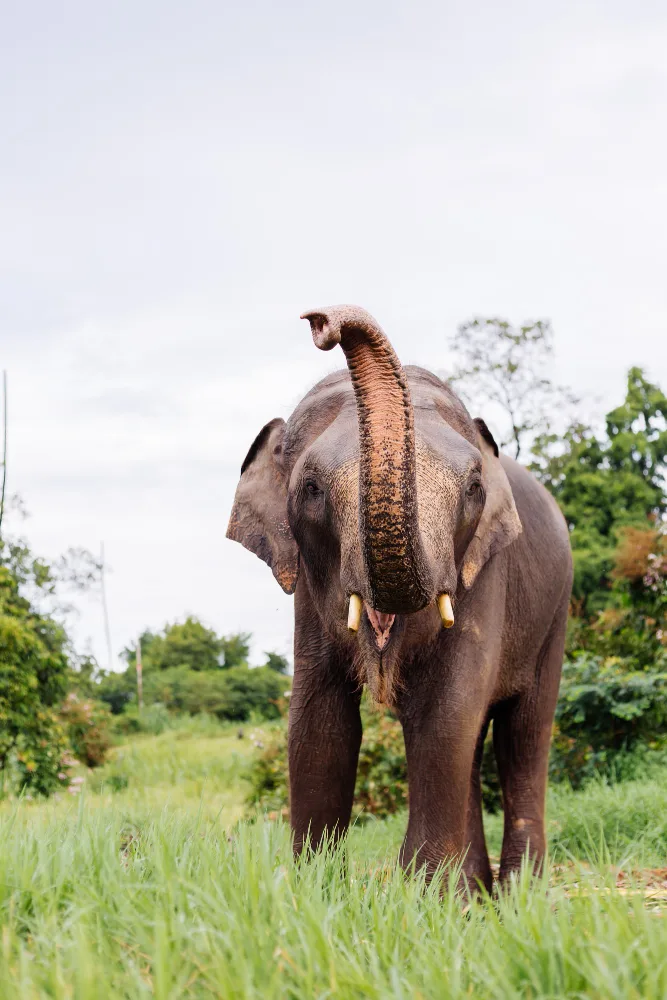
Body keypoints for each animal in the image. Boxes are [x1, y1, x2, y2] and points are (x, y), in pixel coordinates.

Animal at [227, 305, 572, 889]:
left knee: (524, 733)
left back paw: (518, 893)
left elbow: (445, 714)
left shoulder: (484, 572)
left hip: (557, 614)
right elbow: (318, 722)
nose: (321, 321)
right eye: (312, 489)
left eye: (473, 489)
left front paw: (424, 898)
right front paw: (315, 892)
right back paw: (476, 892)